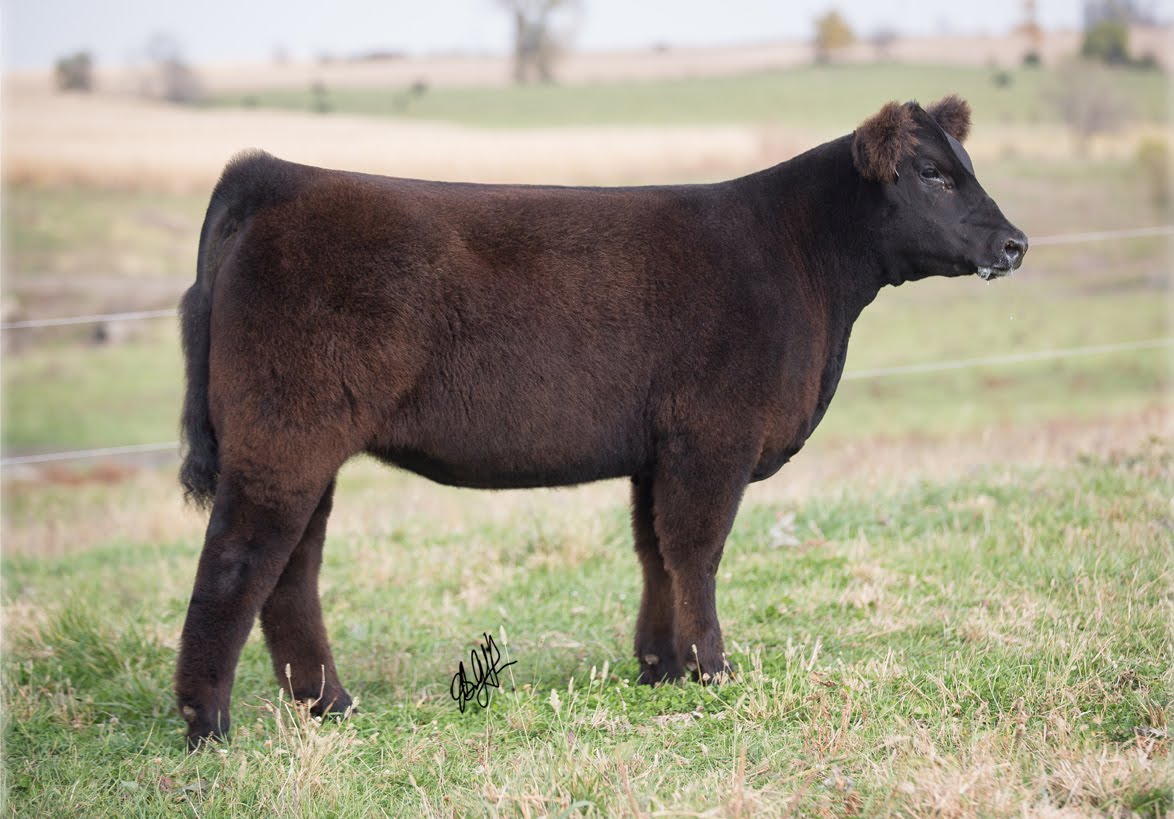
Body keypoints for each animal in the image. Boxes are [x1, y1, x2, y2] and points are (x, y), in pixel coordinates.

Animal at [175, 95, 1027, 747]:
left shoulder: (659, 449)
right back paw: (207, 725)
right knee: (238, 565)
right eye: (932, 173)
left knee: (291, 574)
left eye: (965, 164)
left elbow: (655, 552)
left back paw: (330, 704)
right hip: (281, 440)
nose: (1015, 242)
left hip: (307, 449)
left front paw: (661, 666)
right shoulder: (713, 436)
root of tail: (275, 174)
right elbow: (698, 551)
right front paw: (714, 669)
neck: (804, 266)